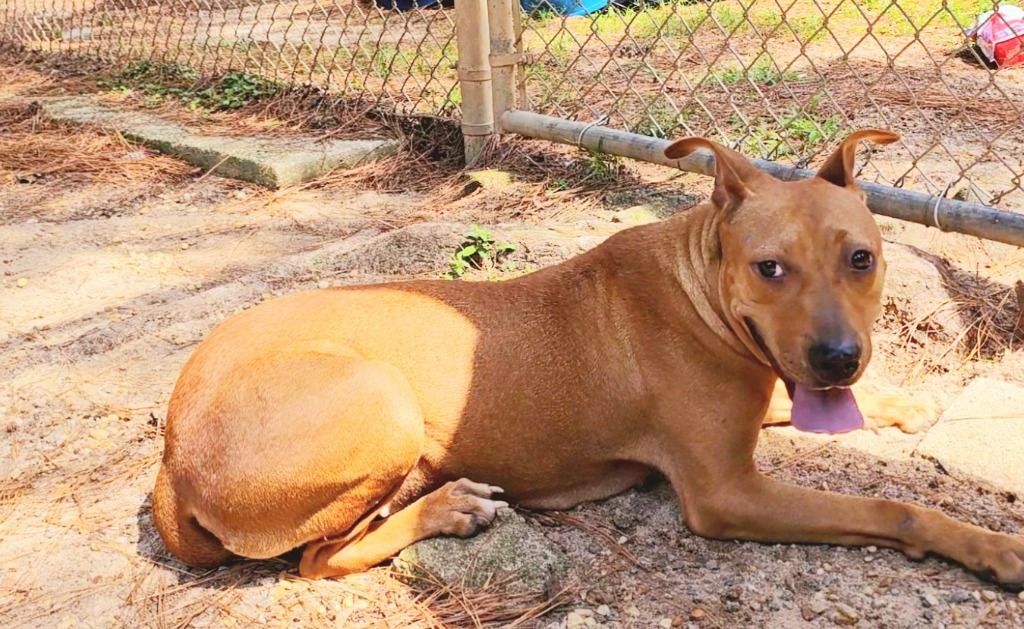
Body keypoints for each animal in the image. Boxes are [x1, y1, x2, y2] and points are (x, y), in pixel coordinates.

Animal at [151, 130, 1024, 590]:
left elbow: (801, 401)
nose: (839, 359)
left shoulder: (762, 391)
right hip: (383, 405)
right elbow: (891, 507)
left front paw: (904, 403)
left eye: (861, 258)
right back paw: (448, 508)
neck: (699, 281)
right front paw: (991, 545)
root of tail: (169, 456)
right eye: (770, 267)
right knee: (318, 558)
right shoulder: (726, 493)